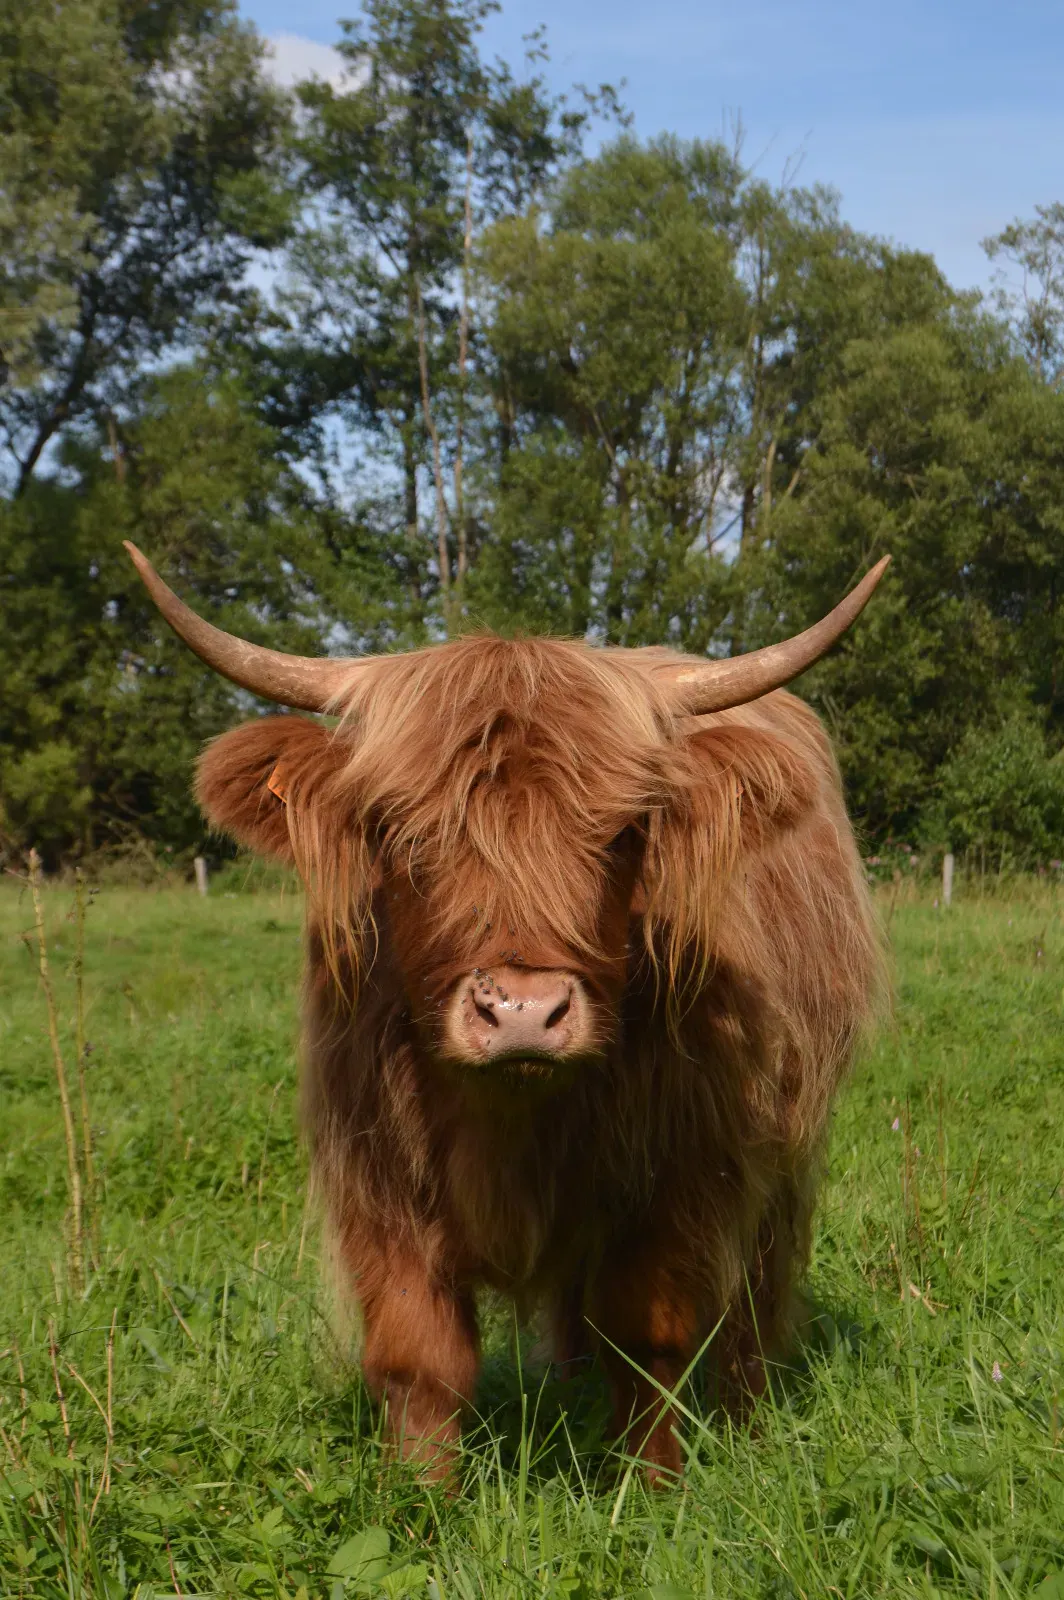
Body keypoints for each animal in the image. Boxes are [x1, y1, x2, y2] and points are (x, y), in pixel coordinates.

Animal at [126, 541, 886, 1484]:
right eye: (400, 831)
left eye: (625, 833)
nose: (524, 1011)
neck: (510, 1121)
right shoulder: (376, 1173)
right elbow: (419, 1357)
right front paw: (418, 1498)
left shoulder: (685, 1169)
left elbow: (651, 1339)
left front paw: (653, 1489)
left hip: (788, 1140)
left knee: (758, 1291)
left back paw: (744, 1417)